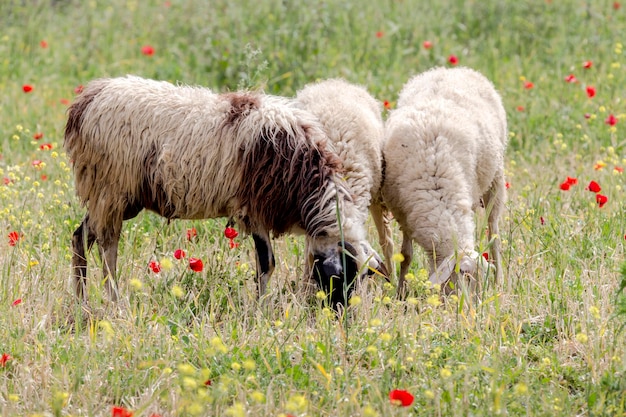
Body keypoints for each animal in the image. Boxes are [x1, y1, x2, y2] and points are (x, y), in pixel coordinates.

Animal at [380, 67, 508, 296]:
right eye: (464, 274)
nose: (471, 306)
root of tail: (451, 69)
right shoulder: (404, 214)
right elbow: (406, 255)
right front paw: (401, 293)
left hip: (496, 178)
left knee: (494, 234)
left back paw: (499, 281)